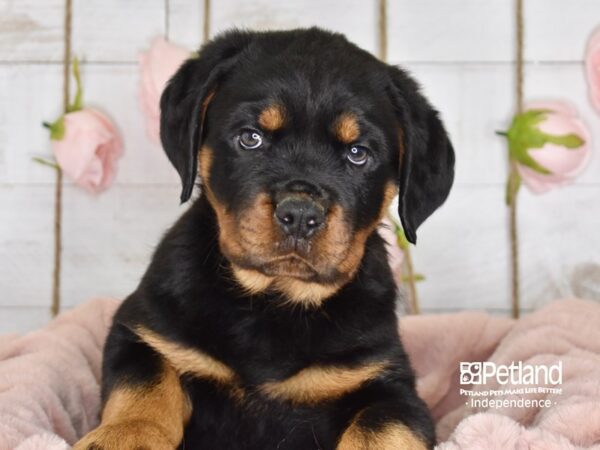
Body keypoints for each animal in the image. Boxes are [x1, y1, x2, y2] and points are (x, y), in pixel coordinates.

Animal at [72, 28, 452, 450]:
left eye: (358, 153)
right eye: (250, 138)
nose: (300, 215)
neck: (272, 302)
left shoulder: (391, 386)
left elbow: (379, 428)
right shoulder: (142, 331)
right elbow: (146, 384)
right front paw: (125, 436)